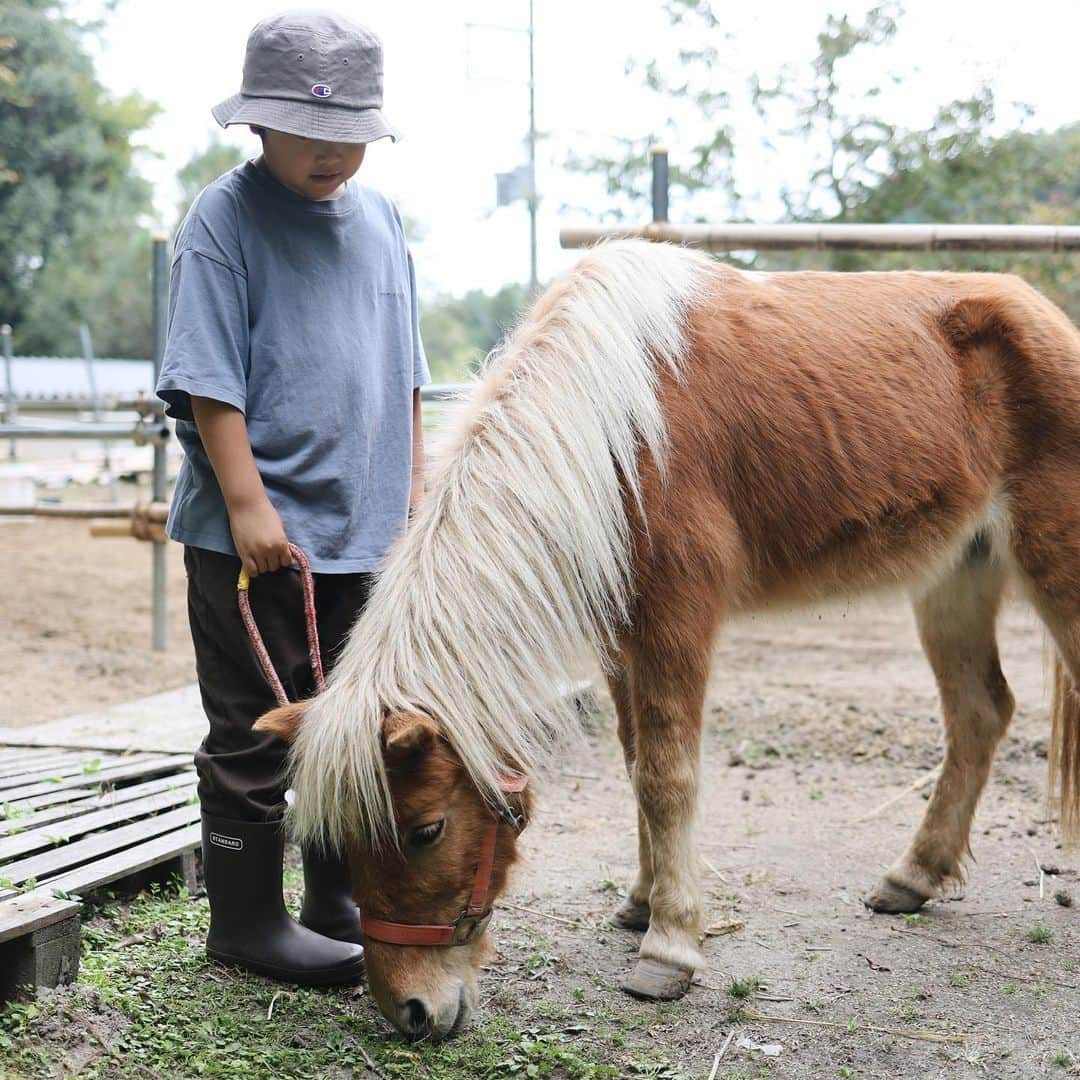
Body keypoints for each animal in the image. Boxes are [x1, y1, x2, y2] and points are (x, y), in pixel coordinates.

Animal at [257, 240, 1080, 1041]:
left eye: (426, 829)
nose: (409, 1011)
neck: (613, 427)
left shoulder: (677, 620)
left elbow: (666, 775)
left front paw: (671, 945)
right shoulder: (623, 633)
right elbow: (633, 763)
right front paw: (642, 900)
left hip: (1051, 569)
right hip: (955, 579)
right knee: (980, 714)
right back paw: (913, 876)